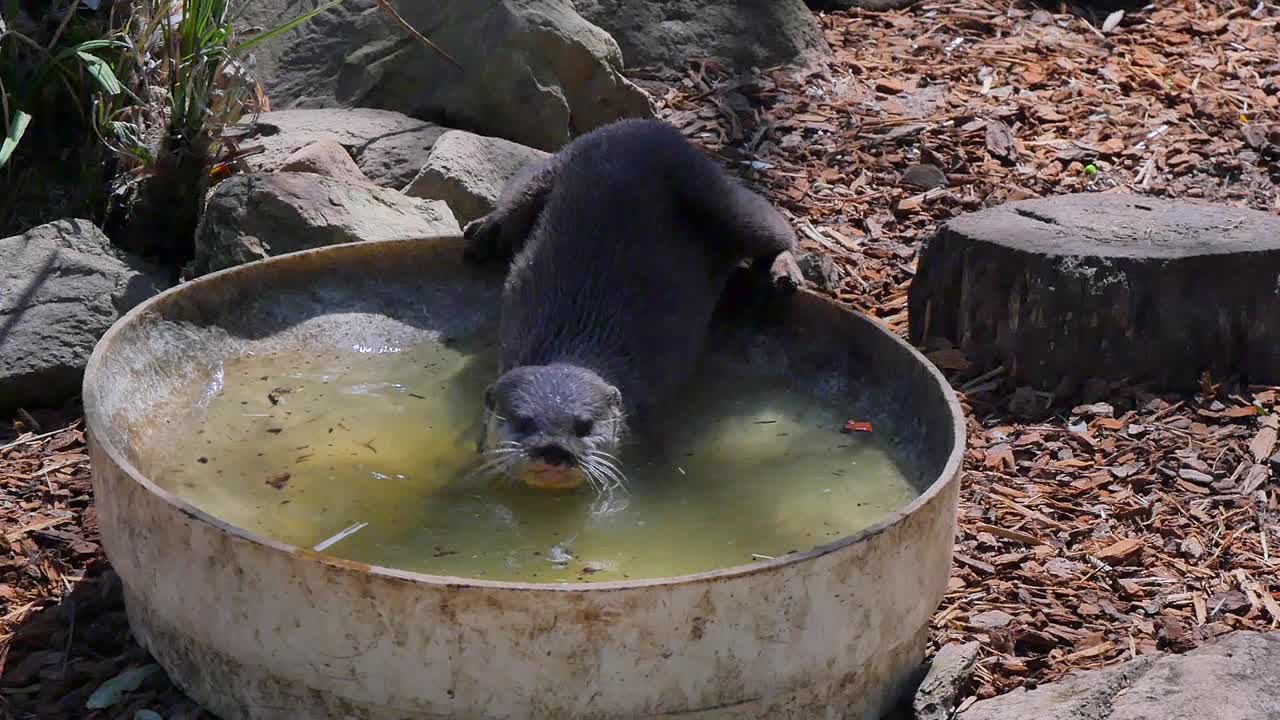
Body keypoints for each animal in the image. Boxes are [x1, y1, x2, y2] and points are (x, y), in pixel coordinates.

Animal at [463, 118, 797, 494]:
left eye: (584, 426)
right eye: (523, 422)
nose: (553, 450)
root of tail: (637, 125)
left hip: (716, 195)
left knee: (774, 225)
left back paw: (784, 271)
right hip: (547, 173)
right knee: (514, 196)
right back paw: (484, 231)